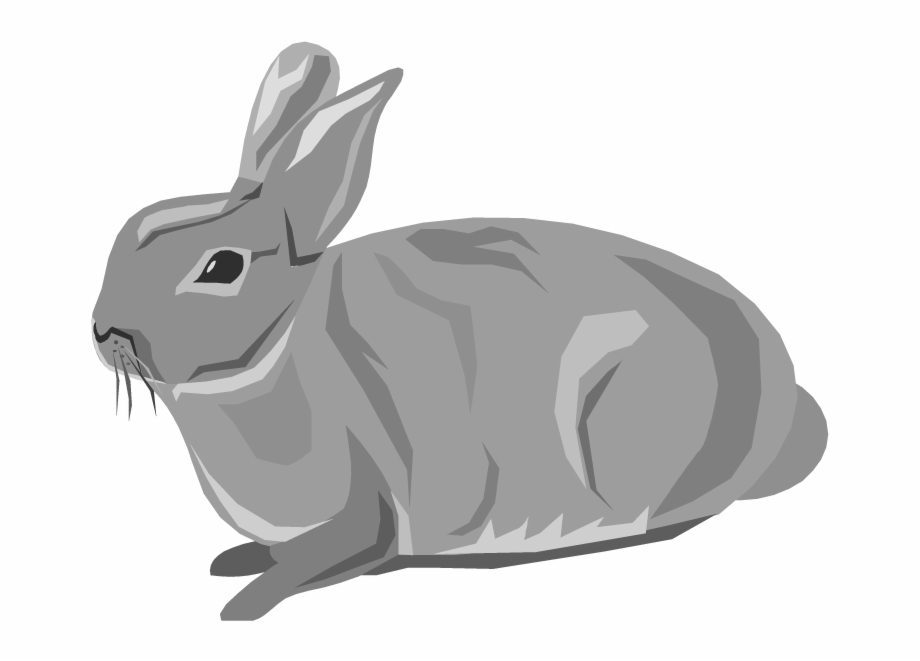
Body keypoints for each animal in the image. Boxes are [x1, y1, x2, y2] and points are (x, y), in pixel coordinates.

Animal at [92, 42, 828, 621]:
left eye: (222, 267)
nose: (102, 330)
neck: (274, 348)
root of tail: (782, 399)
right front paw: (234, 559)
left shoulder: (366, 513)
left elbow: (320, 559)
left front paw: (242, 604)